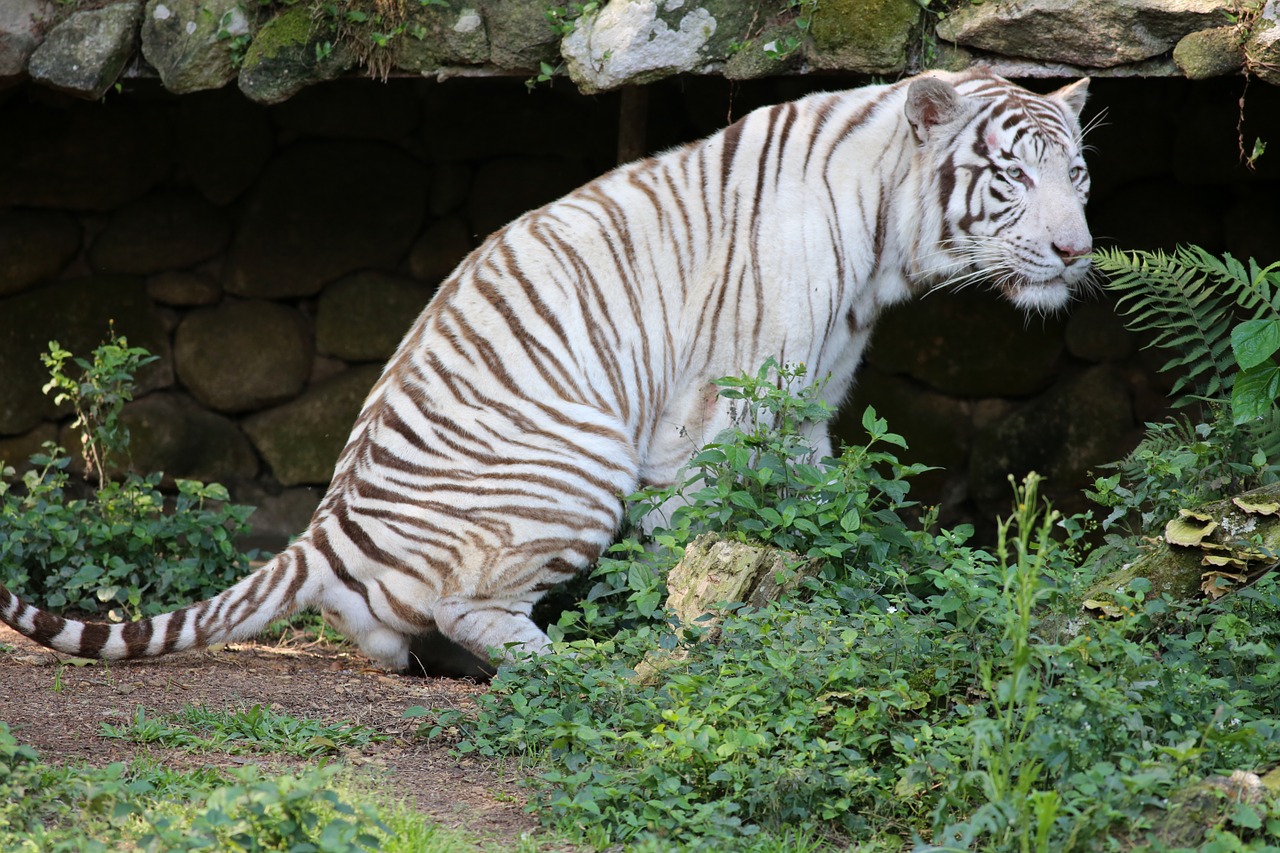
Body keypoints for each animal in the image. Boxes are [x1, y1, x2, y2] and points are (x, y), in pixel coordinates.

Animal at [5, 69, 1095, 671]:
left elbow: (833, 519)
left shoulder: (806, 413)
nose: (1078, 250)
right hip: (577, 468)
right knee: (465, 605)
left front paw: (886, 588)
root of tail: (326, 527)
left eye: (1077, 174)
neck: (881, 248)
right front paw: (683, 637)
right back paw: (564, 661)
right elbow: (693, 542)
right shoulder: (715, 418)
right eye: (1011, 176)